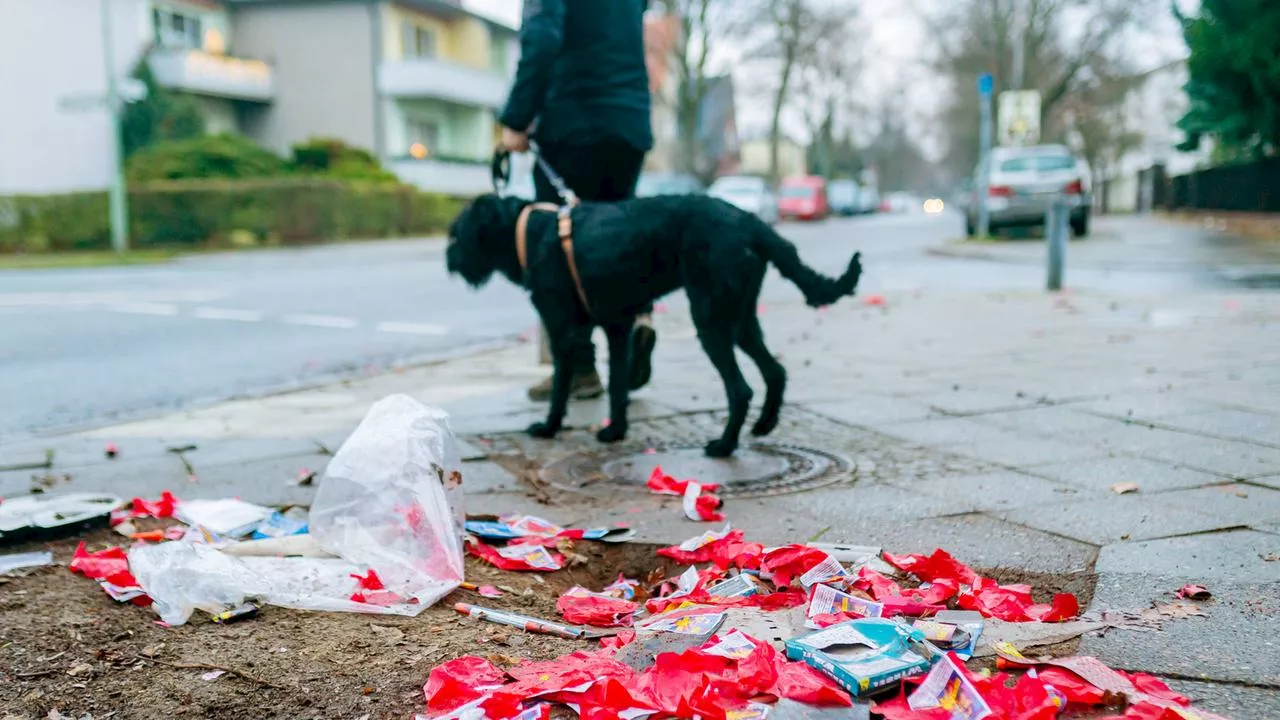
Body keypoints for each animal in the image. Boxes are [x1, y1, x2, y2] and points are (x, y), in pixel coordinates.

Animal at [445, 193, 865, 453]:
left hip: (710, 319)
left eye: (457, 234)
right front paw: (615, 431)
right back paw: (763, 425)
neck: (527, 233)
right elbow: (617, 384)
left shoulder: (564, 330)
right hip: (741, 319)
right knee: (775, 371)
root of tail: (751, 223)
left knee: (741, 388)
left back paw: (724, 446)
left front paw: (548, 428)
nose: (449, 261)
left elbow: (561, 388)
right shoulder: (616, 326)